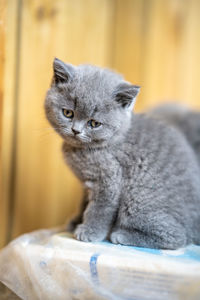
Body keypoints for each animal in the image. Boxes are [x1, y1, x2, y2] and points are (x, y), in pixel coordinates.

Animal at [45, 57, 200, 250]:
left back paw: (121, 235)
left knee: (176, 237)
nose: (75, 130)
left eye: (94, 123)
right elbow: (84, 203)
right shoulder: (86, 184)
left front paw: (89, 231)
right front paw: (76, 221)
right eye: (68, 113)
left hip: (138, 199)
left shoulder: (109, 179)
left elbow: (99, 208)